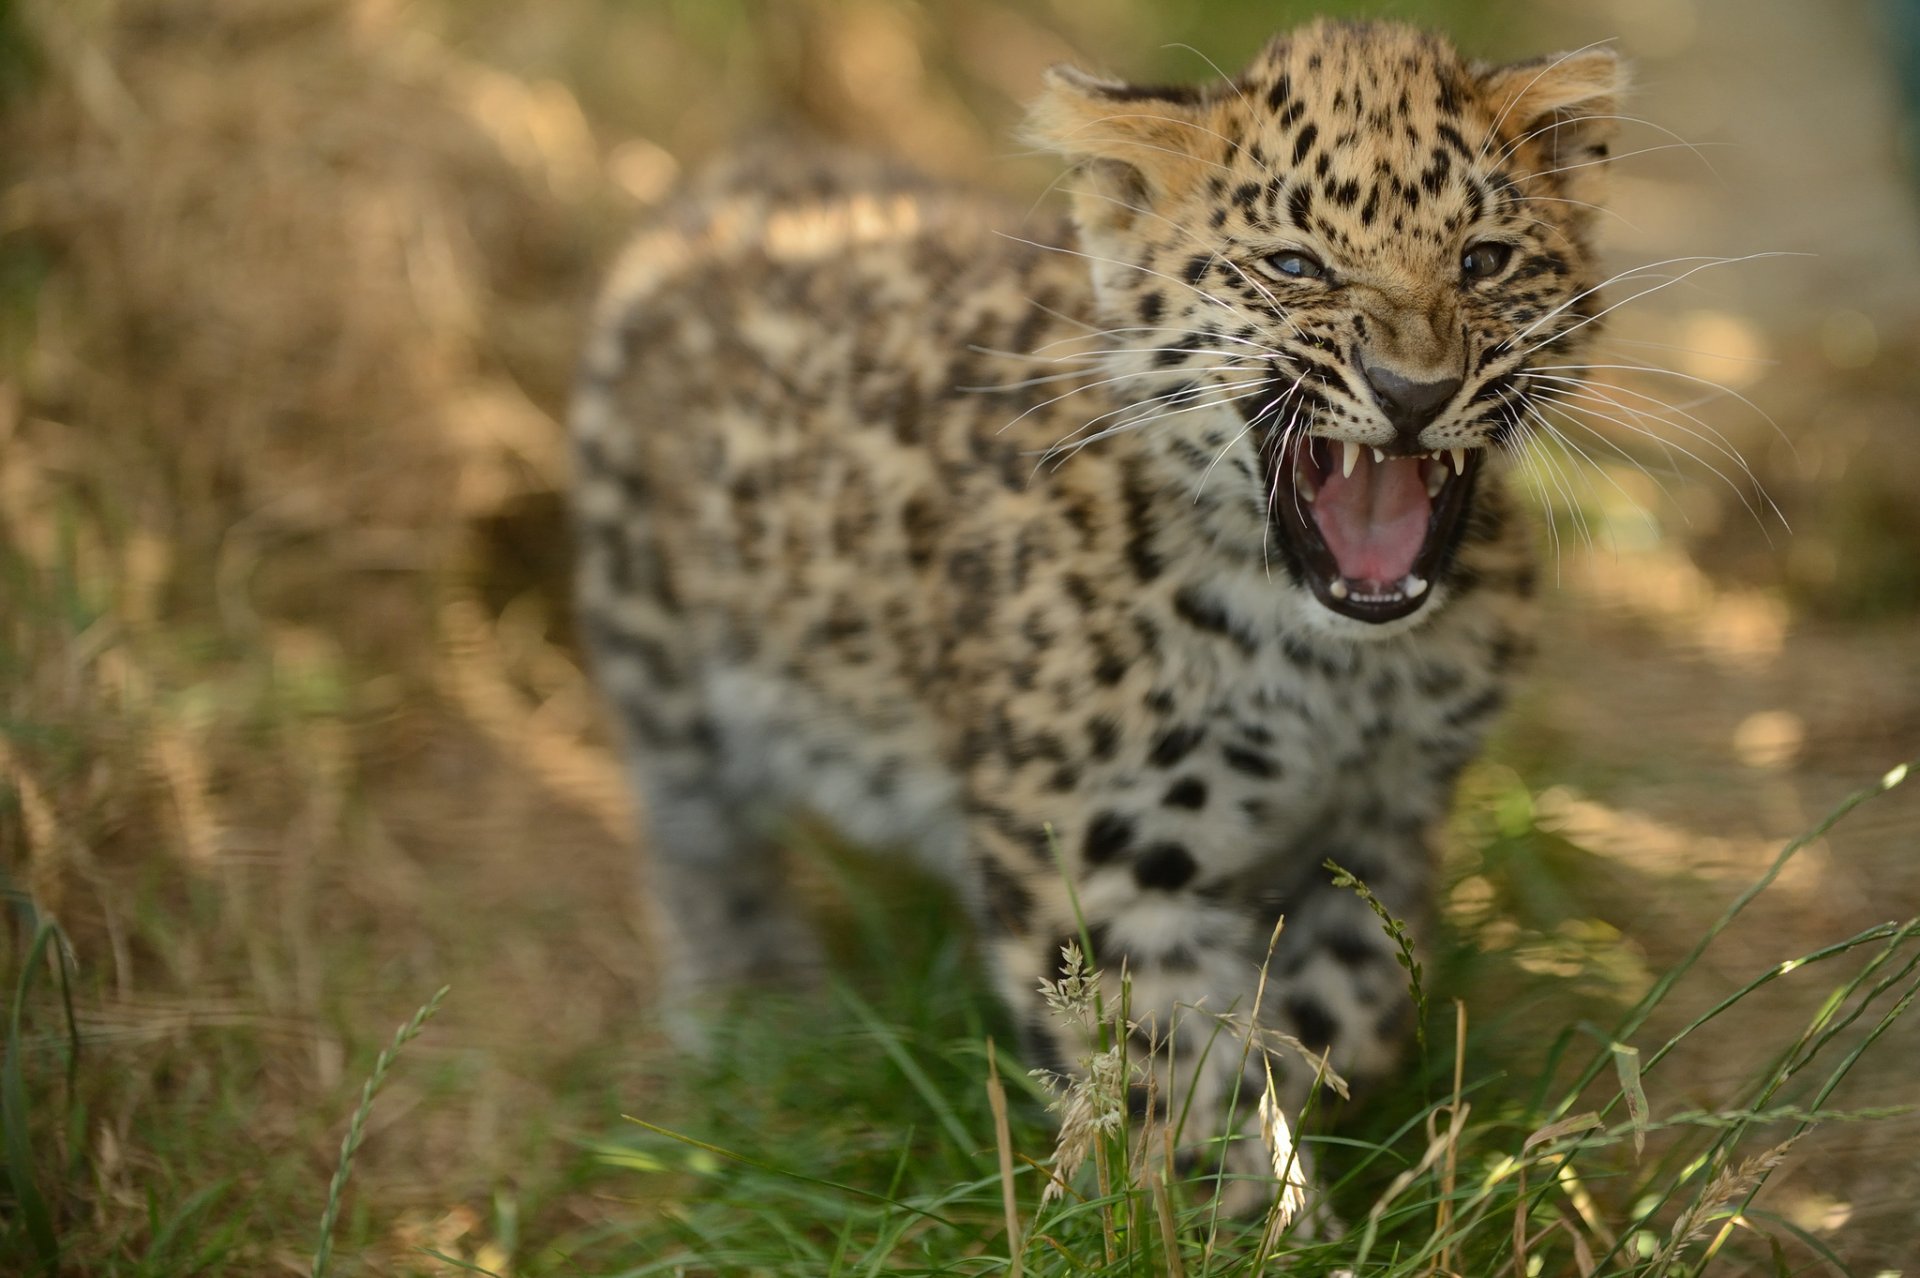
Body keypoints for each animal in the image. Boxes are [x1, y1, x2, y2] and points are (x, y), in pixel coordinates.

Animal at [570, 18, 1625, 1211]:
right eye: (1295, 267)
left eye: (1483, 262)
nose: (1412, 392)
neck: (1335, 661)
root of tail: (737, 177)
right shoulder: (1098, 850)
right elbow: (1167, 1065)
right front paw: (1219, 1213)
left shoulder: (1388, 818)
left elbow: (1352, 1002)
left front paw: (1294, 1098)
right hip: (653, 628)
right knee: (694, 827)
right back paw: (750, 998)